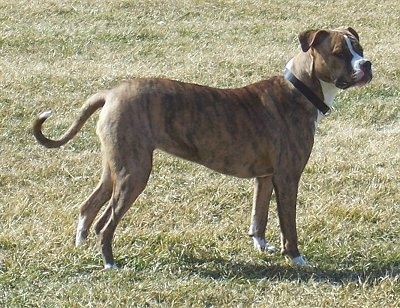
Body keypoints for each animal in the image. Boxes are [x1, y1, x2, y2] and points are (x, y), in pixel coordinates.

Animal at [33, 27, 372, 270]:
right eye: (340, 53)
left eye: (360, 48)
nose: (367, 64)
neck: (299, 88)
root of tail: (111, 93)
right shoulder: (287, 178)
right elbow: (288, 224)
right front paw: (297, 257)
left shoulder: (265, 178)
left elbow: (258, 218)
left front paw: (262, 248)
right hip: (134, 174)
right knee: (106, 222)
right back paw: (111, 264)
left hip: (116, 168)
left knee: (88, 207)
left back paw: (82, 247)